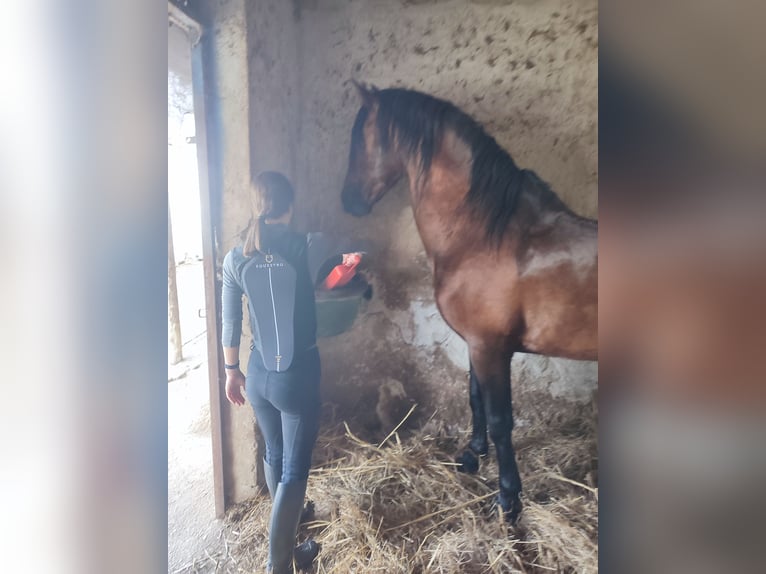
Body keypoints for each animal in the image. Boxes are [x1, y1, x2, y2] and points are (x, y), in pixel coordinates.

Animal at [342, 83, 600, 524]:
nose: (348, 202)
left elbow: (499, 419)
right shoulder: (477, 344)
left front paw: (508, 498)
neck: (482, 236)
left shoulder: (489, 346)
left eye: (361, 139)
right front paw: (472, 456)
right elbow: (475, 399)